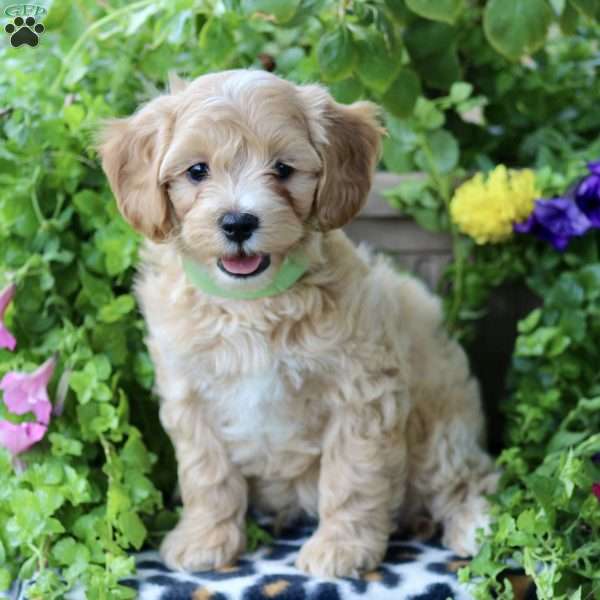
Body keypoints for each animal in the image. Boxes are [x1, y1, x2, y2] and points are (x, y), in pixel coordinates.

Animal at [101, 69, 496, 576]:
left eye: (283, 169)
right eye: (197, 171)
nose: (237, 222)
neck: (250, 304)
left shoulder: (362, 391)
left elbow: (352, 475)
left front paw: (341, 548)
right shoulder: (189, 394)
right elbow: (206, 473)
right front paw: (205, 539)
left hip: (440, 425)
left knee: (466, 477)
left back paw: (474, 526)